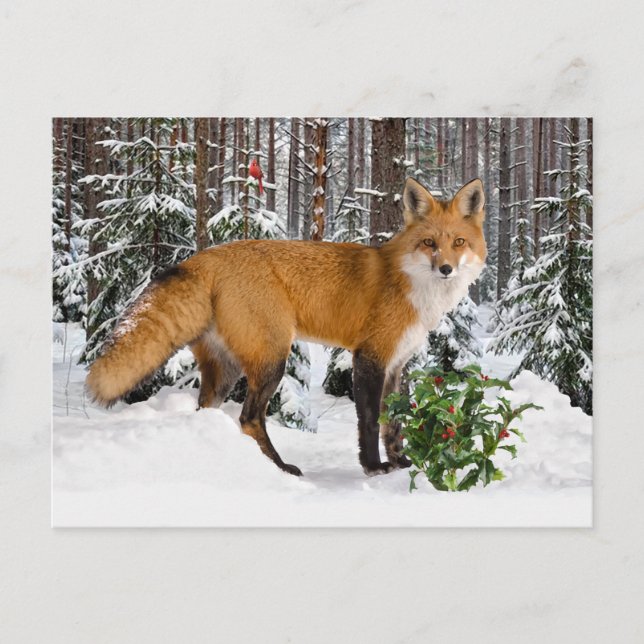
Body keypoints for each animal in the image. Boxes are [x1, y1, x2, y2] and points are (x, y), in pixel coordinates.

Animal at [86, 177, 487, 477]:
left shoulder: (396, 364)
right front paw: (374, 468)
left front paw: (401, 462)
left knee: (209, 412)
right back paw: (280, 468)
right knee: (249, 419)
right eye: (429, 243)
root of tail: (205, 256)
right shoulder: (368, 357)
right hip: (272, 360)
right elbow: (372, 421)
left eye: (458, 242)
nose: (446, 269)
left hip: (226, 372)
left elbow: (395, 422)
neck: (409, 282)